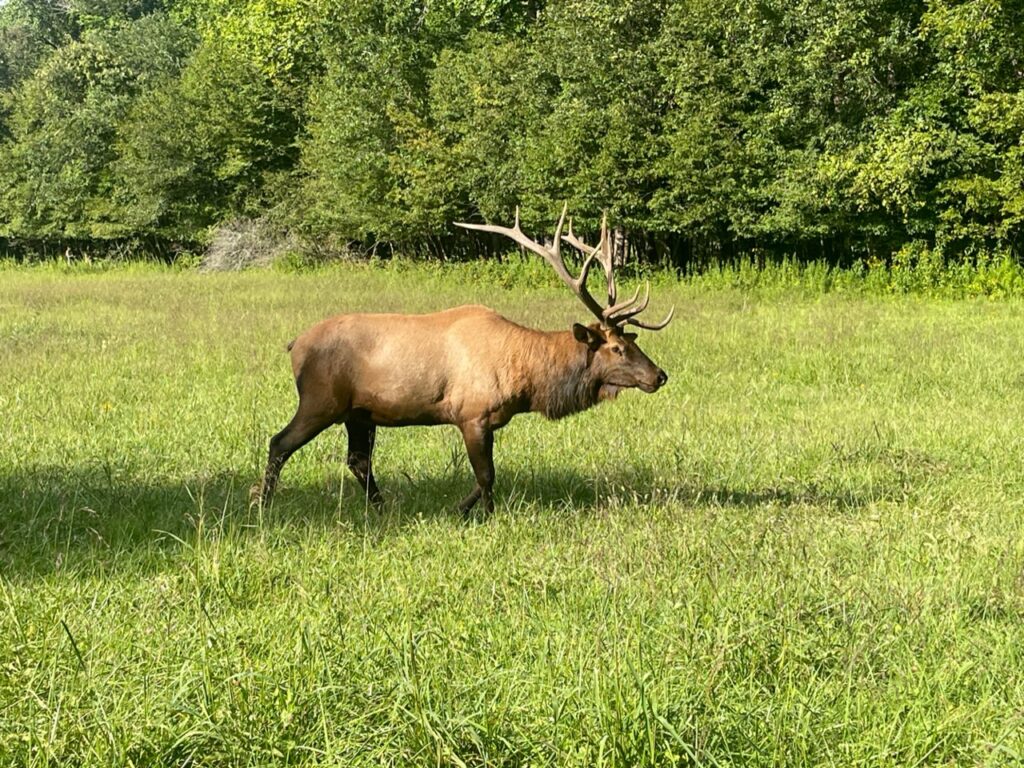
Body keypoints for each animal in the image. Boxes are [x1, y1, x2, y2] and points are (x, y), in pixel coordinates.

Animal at [256, 207, 671, 514]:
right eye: (617, 349)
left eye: (630, 341)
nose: (660, 375)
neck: (528, 381)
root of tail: (294, 345)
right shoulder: (472, 415)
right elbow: (487, 476)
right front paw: (486, 516)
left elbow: (482, 477)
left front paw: (458, 509)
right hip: (320, 401)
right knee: (279, 442)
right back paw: (262, 503)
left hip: (359, 413)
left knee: (358, 460)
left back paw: (382, 507)